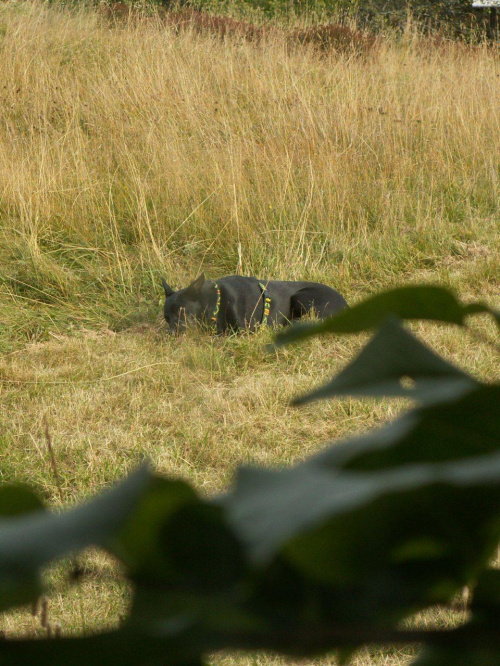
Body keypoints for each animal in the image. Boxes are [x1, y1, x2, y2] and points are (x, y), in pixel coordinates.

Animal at [161, 272, 348, 332]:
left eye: (182, 311)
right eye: (166, 318)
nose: (171, 333)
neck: (216, 303)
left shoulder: (244, 330)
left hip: (300, 297)